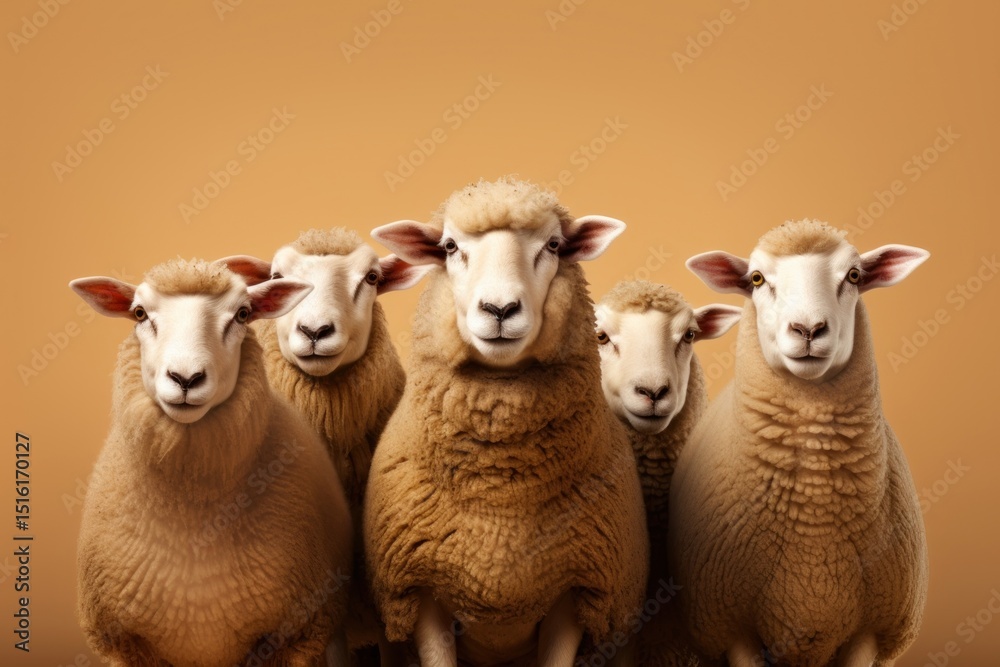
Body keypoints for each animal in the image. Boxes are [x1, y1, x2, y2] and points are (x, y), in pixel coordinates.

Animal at [363, 177, 649, 667]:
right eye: (450, 246)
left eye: (553, 245)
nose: (499, 309)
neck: (500, 504)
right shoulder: (421, 591)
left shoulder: (574, 591)